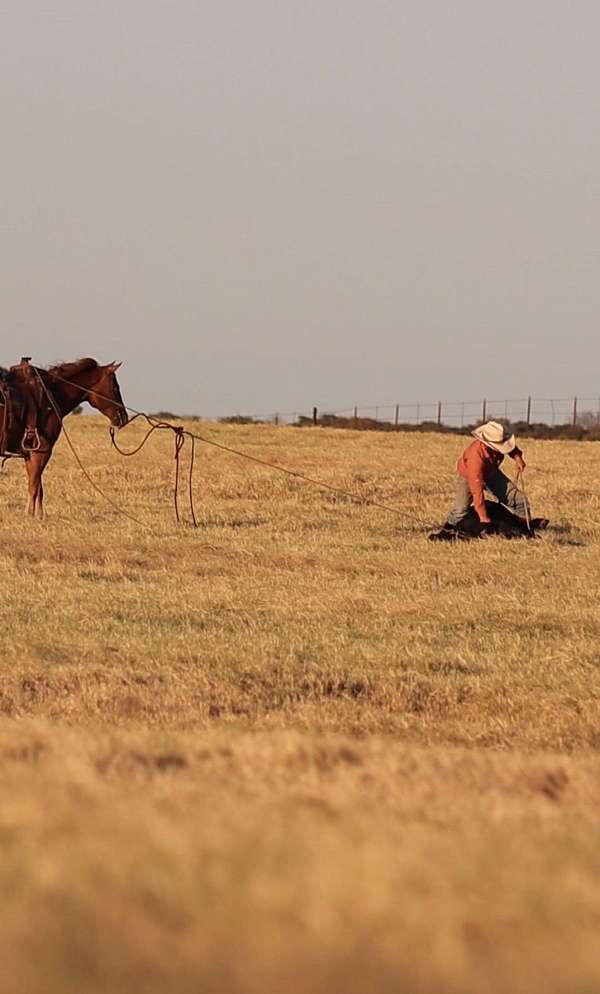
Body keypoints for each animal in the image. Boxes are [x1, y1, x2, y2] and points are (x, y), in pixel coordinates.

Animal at [0, 358, 128, 518]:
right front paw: (30, 515)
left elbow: (38, 487)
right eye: (115, 387)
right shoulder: (41, 451)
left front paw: (38, 515)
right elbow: (34, 487)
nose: (123, 417)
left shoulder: (30, 454)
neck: (50, 397)